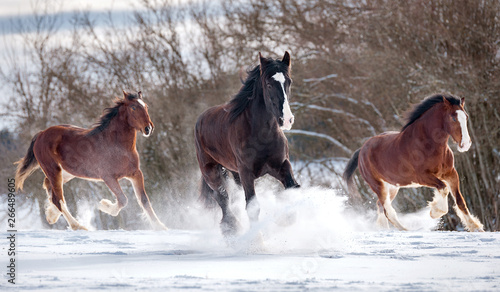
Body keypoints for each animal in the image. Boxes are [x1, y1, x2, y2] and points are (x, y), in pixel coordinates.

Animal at [13, 90, 166, 230]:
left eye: (146, 106)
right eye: (133, 107)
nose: (148, 128)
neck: (118, 146)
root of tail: (41, 134)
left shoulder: (136, 174)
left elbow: (144, 200)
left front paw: (161, 227)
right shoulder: (108, 177)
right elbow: (123, 200)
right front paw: (103, 204)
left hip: (66, 173)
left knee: (49, 188)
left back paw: (52, 216)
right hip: (53, 170)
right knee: (59, 199)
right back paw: (78, 226)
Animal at [193, 52, 298, 235]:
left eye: (288, 81)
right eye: (269, 84)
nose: (286, 120)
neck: (262, 135)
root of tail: (200, 120)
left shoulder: (281, 165)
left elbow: (291, 189)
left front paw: (286, 220)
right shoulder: (246, 173)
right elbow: (252, 207)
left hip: (234, 174)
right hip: (211, 172)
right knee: (222, 199)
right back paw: (231, 230)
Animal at [344, 94, 484, 232]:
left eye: (466, 116)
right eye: (453, 117)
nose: (465, 144)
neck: (429, 144)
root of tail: (362, 150)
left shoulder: (451, 174)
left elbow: (460, 201)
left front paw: (476, 228)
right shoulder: (422, 177)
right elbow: (443, 188)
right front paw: (434, 212)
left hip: (392, 187)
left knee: (380, 206)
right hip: (378, 185)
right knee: (387, 210)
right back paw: (405, 229)